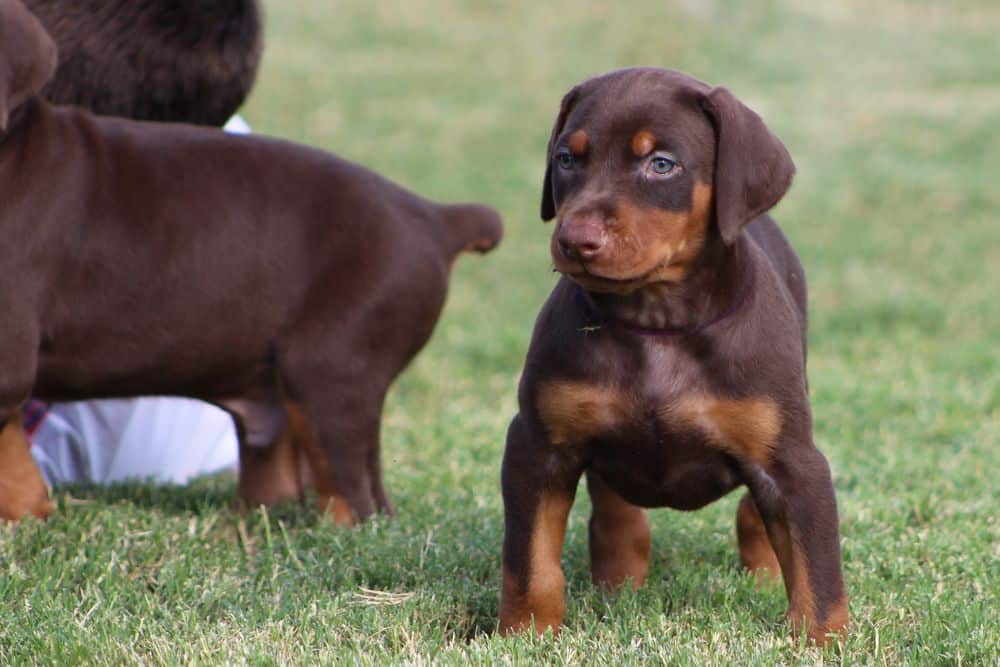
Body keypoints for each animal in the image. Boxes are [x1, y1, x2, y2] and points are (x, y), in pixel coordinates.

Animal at [496, 66, 848, 640]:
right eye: (566, 159)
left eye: (661, 164)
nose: (576, 240)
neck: (656, 323)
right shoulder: (537, 445)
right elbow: (530, 563)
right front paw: (525, 635)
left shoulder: (793, 461)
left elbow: (818, 570)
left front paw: (822, 642)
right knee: (616, 513)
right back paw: (618, 583)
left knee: (752, 516)